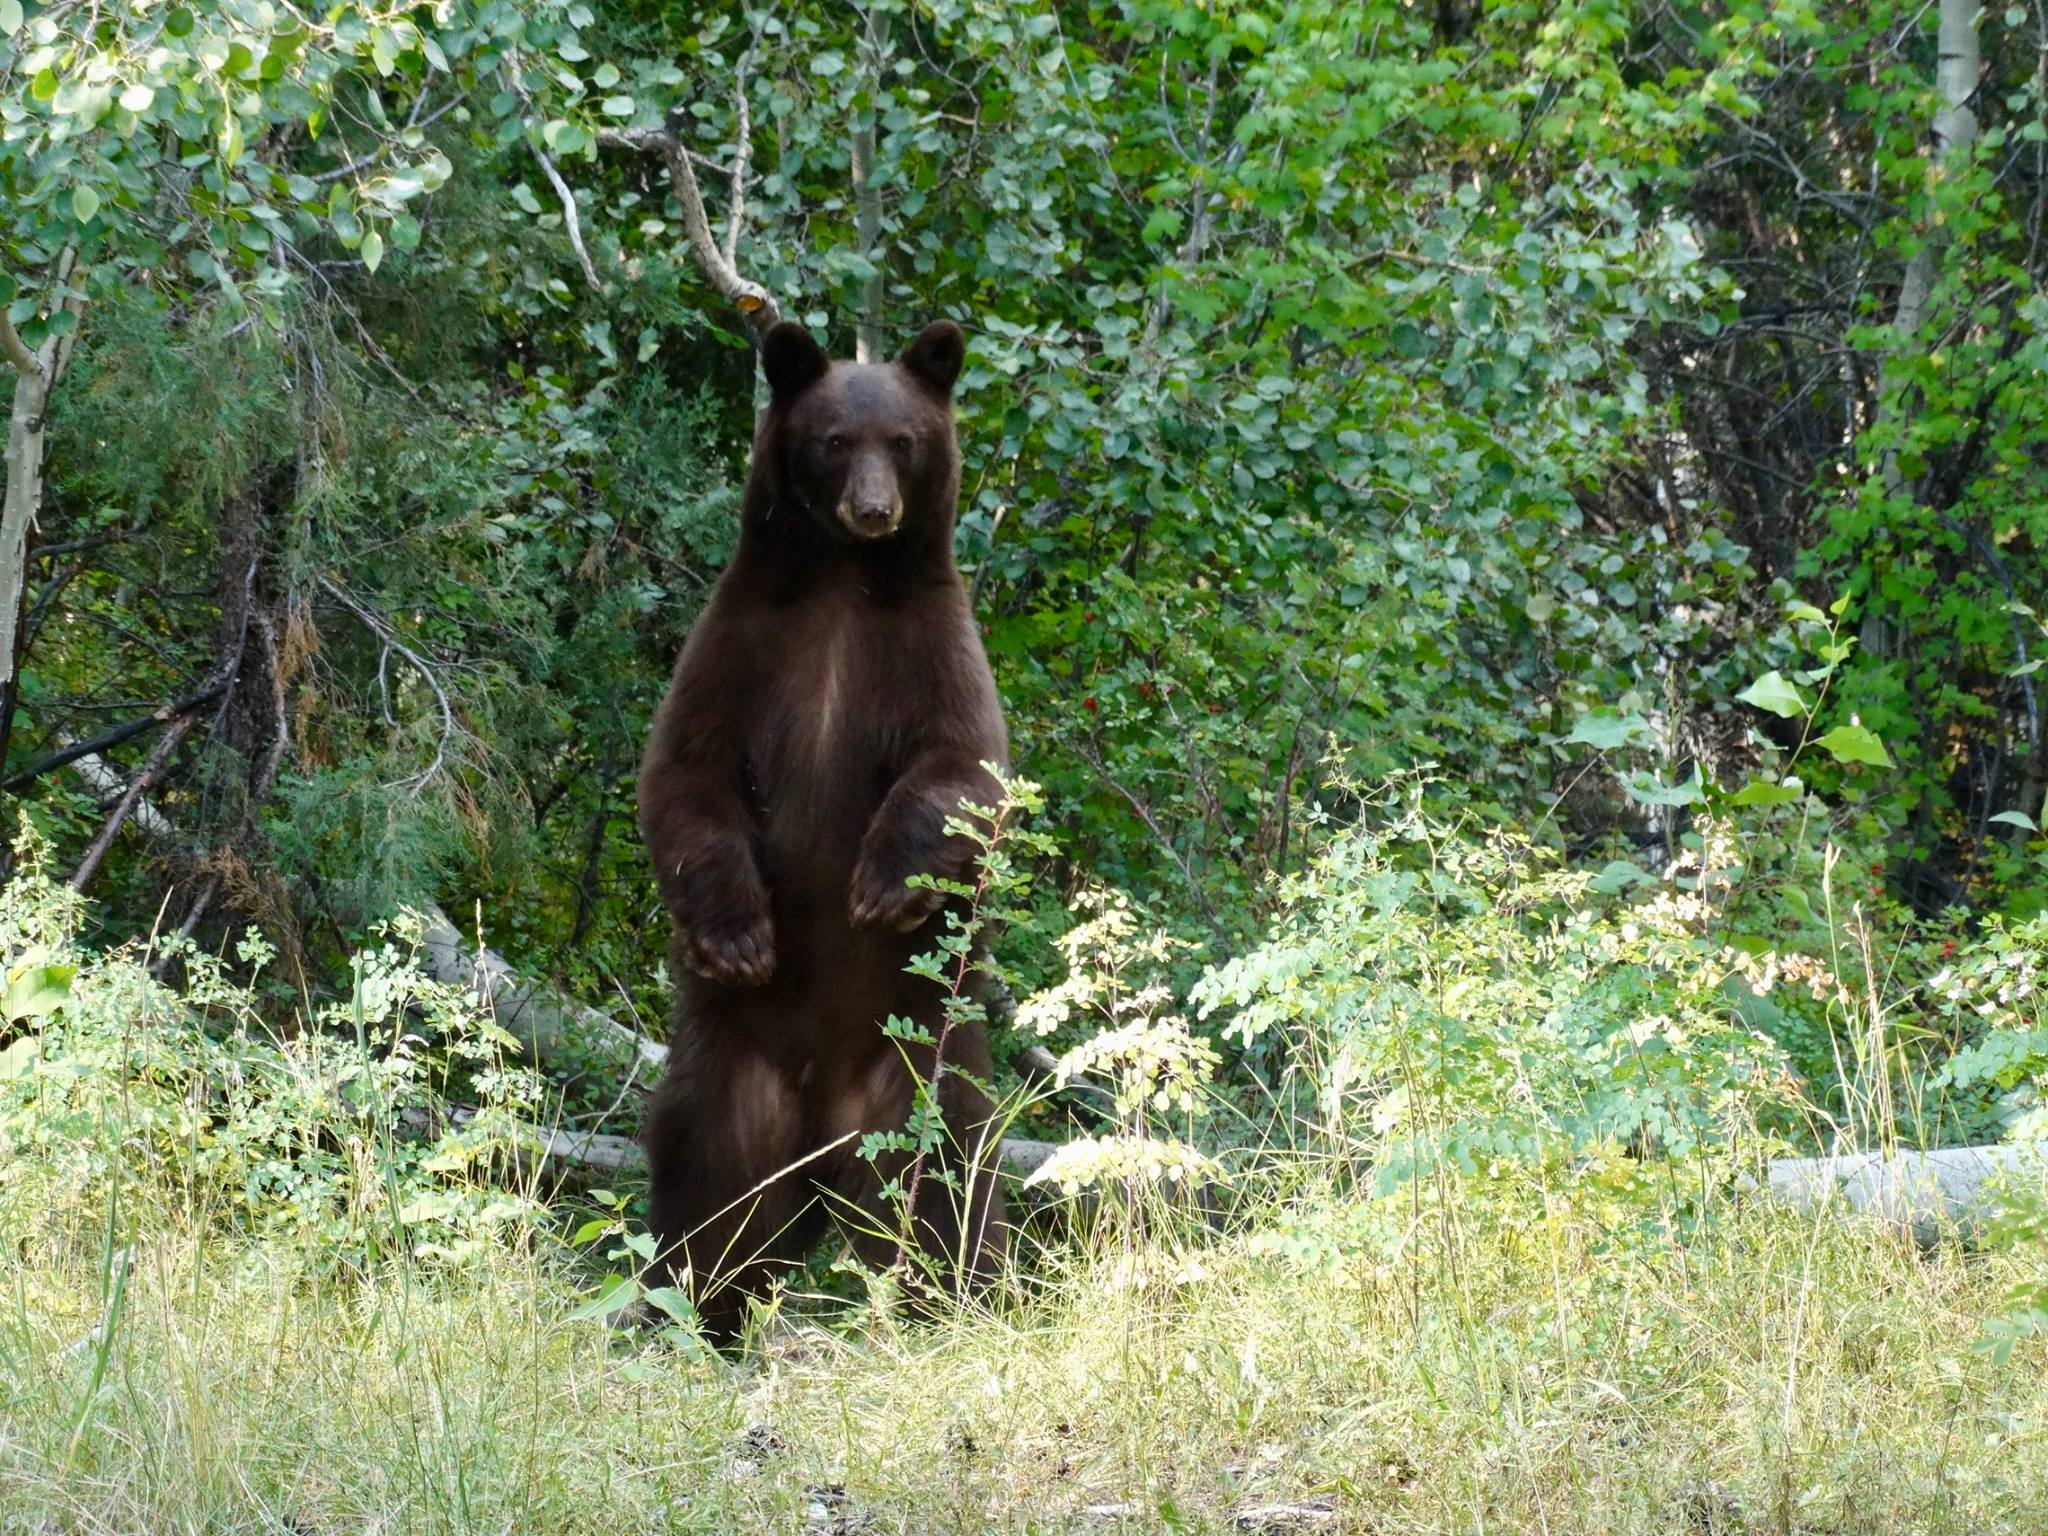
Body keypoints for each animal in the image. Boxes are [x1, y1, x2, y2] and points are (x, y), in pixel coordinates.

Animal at [626, 319, 1003, 1343]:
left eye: (902, 441)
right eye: (835, 440)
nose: (874, 510)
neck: (843, 580)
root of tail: (824, 1130)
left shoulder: (932, 645)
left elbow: (964, 770)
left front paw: (878, 887)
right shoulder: (738, 646)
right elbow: (687, 777)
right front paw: (740, 936)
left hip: (917, 1067)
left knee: (945, 1182)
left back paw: (958, 1299)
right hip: (730, 1074)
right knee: (710, 1191)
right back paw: (693, 1310)